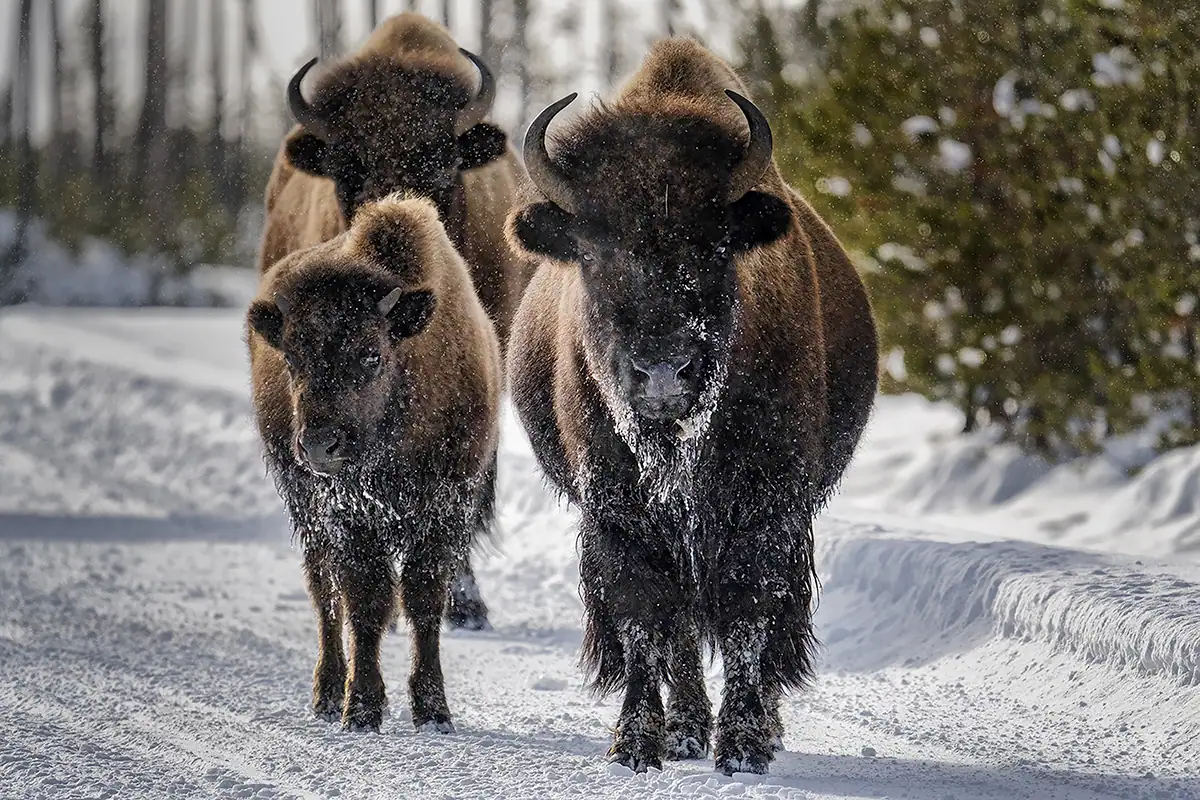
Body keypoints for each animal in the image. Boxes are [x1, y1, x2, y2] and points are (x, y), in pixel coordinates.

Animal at [247, 194, 502, 732]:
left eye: (371, 354)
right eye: (292, 358)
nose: (320, 445)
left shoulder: (446, 506)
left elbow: (423, 599)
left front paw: (433, 711)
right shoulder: (348, 515)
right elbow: (365, 601)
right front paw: (361, 708)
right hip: (304, 507)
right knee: (324, 592)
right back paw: (326, 695)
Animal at [505, 38, 878, 775]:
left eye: (715, 244)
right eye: (592, 250)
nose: (662, 371)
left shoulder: (767, 502)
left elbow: (749, 610)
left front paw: (744, 746)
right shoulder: (618, 508)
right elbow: (645, 616)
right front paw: (638, 742)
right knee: (677, 626)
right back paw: (683, 728)